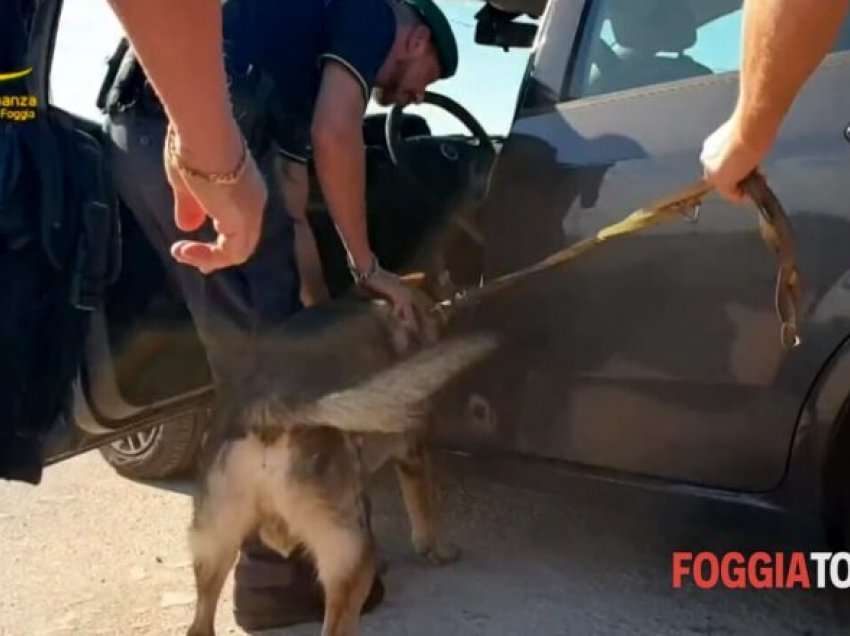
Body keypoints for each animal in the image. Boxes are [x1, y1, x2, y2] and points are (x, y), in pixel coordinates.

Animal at [184, 294, 490, 636]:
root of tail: (266, 409)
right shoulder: (413, 454)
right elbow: (425, 512)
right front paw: (438, 550)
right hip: (351, 558)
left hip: (215, 545)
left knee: (199, 624)